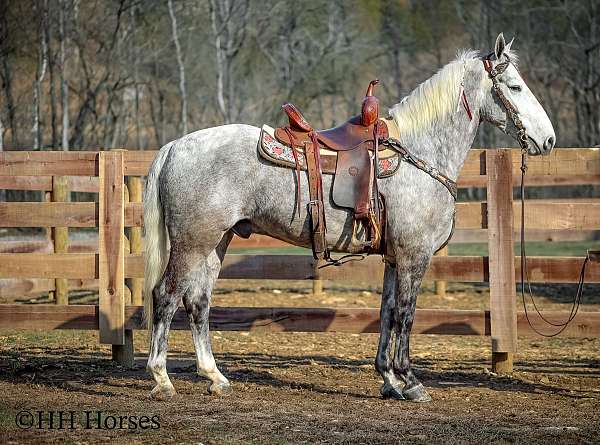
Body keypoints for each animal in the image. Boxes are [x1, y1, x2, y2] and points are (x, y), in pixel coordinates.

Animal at [143, 33, 556, 402]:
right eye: (515, 86)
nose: (549, 140)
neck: (420, 153)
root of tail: (175, 147)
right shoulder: (414, 256)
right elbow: (406, 314)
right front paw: (410, 381)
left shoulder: (394, 258)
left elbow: (387, 312)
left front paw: (389, 380)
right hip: (192, 243)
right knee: (166, 296)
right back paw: (162, 379)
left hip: (217, 242)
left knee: (198, 301)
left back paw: (215, 377)